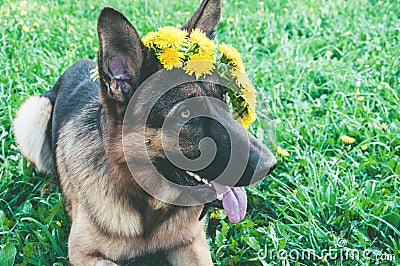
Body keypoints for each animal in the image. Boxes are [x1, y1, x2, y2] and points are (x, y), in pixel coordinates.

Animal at [12, 1, 276, 264]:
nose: (270, 165)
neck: (147, 205)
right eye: (185, 113)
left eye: (223, 98)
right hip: (31, 113)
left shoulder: (191, 243)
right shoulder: (84, 254)